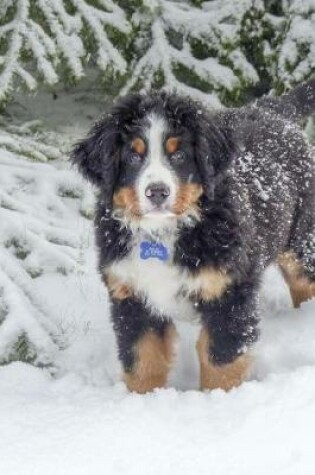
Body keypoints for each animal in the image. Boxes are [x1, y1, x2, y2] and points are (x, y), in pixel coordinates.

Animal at [72, 81, 315, 394]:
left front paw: (216, 399)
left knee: (303, 282)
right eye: (133, 156)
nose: (157, 192)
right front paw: (142, 401)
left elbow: (220, 361)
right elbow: (142, 361)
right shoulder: (131, 295)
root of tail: (268, 108)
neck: (162, 232)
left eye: (179, 155)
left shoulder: (228, 293)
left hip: (303, 243)